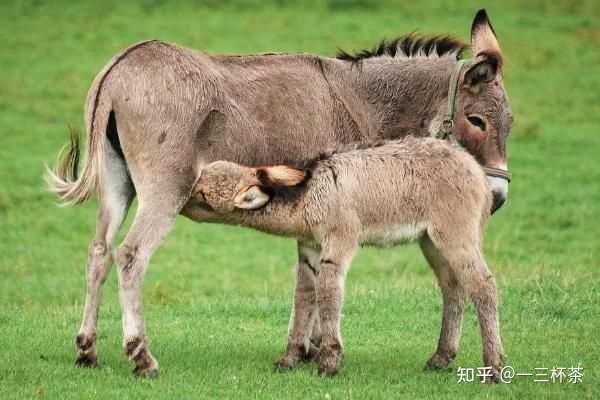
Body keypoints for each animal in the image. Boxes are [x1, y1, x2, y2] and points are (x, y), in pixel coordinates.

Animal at [185, 136, 504, 380]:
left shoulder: (337, 243)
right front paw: (289, 359)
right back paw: (441, 357)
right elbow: (304, 297)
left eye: (202, 194)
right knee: (453, 288)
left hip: (455, 235)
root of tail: (474, 167)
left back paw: (494, 367)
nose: (181, 197)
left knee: (483, 286)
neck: (310, 194)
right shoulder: (309, 249)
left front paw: (329, 362)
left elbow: (328, 295)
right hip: (432, 242)